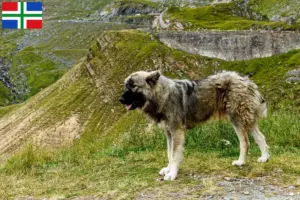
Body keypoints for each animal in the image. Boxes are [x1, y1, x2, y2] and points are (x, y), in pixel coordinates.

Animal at [119, 70, 270, 181]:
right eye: (126, 86)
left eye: (134, 86)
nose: (120, 99)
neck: (162, 95)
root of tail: (247, 80)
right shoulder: (169, 133)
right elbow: (169, 154)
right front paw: (168, 169)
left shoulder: (177, 132)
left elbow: (174, 155)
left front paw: (172, 174)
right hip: (245, 120)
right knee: (260, 137)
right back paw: (263, 158)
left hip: (237, 119)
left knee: (245, 142)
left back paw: (241, 161)